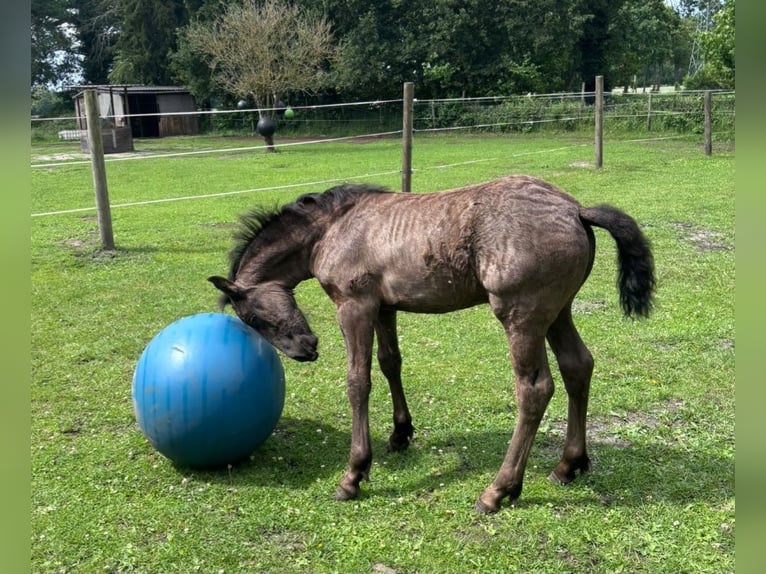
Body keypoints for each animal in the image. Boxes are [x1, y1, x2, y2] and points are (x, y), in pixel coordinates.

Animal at [209, 174, 655, 513]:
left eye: (254, 318)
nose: (306, 349)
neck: (333, 228)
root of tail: (575, 209)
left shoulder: (354, 306)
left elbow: (358, 382)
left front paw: (354, 474)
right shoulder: (383, 308)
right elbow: (390, 362)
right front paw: (400, 434)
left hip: (521, 316)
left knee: (535, 389)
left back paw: (498, 490)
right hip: (557, 311)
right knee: (578, 366)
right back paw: (568, 465)